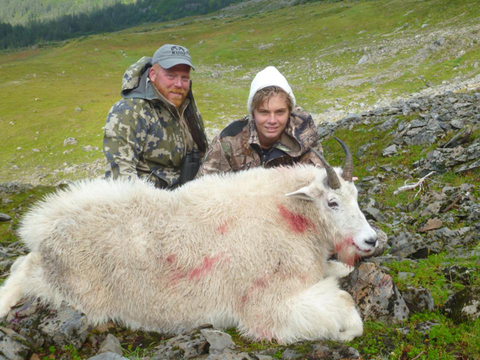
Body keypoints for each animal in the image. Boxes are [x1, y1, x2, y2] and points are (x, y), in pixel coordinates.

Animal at [0, 139, 378, 344]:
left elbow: (337, 274)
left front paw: (341, 269)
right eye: (332, 202)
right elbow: (343, 301)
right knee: (23, 270)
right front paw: (344, 331)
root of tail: (43, 228)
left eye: (357, 196)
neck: (287, 213)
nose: (371, 240)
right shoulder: (265, 307)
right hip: (71, 290)